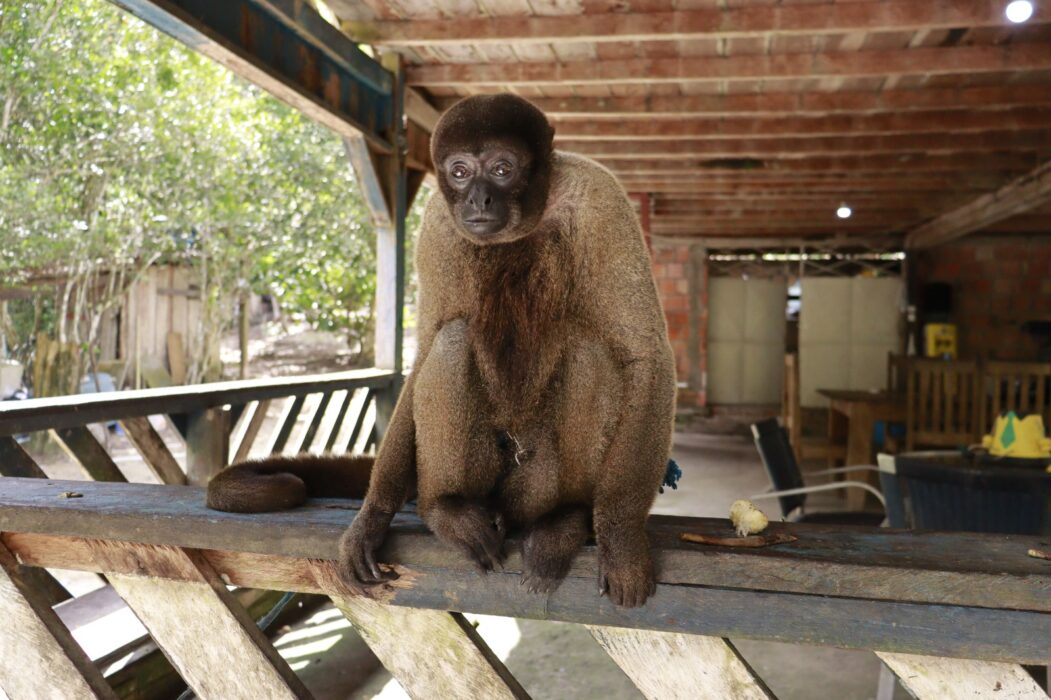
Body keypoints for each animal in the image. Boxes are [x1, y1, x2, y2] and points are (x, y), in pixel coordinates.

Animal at [207, 94, 676, 608]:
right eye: (459, 171)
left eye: (502, 169)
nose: (478, 198)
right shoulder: (436, 221)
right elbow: (425, 348)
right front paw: (372, 518)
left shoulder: (601, 201)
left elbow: (645, 357)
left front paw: (622, 539)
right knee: (452, 341)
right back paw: (445, 508)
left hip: (532, 484)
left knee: (590, 354)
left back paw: (565, 519)